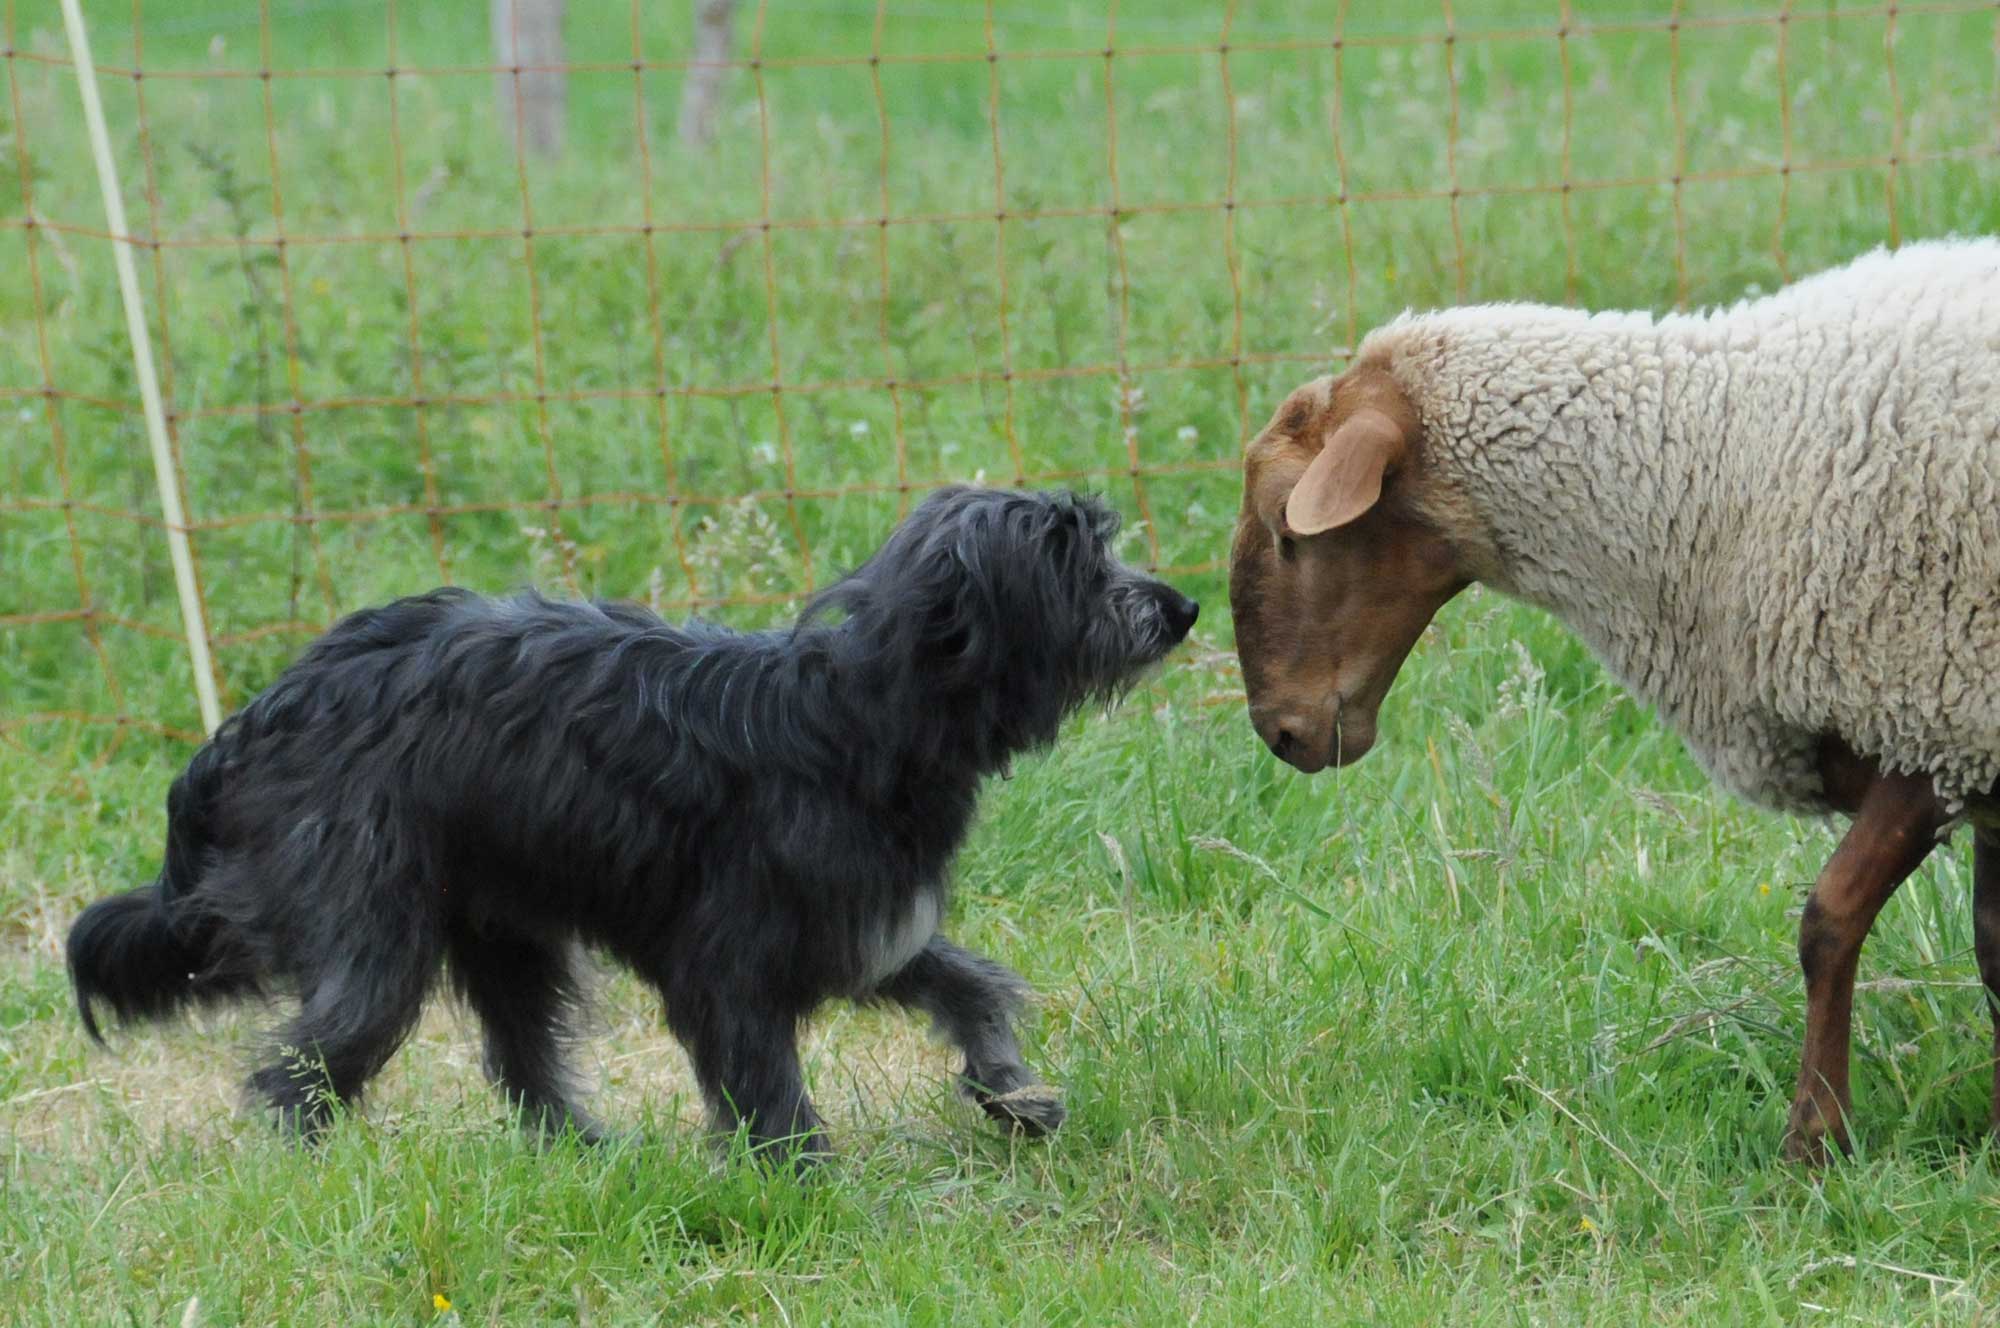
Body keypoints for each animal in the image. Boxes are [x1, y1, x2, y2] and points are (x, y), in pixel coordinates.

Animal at [70, 488, 1192, 1160]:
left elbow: (970, 984)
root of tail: (259, 714)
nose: (1180, 608)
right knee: (301, 1065)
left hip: (504, 928)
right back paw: (310, 1167)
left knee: (521, 1056)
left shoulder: (863, 925)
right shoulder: (733, 957)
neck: (861, 716)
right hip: (372, 927)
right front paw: (805, 1180)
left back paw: (583, 1156)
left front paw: (1012, 1089)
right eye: (1075, 565)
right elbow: (763, 1077)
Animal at [1232, 239, 2000, 1160]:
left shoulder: (1932, 722)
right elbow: (1994, 949)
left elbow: (1831, 921)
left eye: (1288, 530)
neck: (1716, 460)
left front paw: (1813, 1142)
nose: (1280, 732)